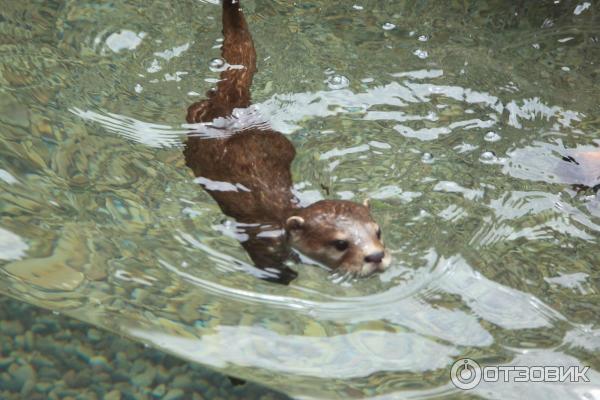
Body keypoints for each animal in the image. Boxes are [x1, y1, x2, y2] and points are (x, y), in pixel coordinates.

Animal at [184, 0, 390, 284]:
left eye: (378, 231)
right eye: (340, 243)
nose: (376, 256)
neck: (282, 218)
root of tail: (232, 105)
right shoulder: (259, 235)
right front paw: (285, 274)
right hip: (197, 117)